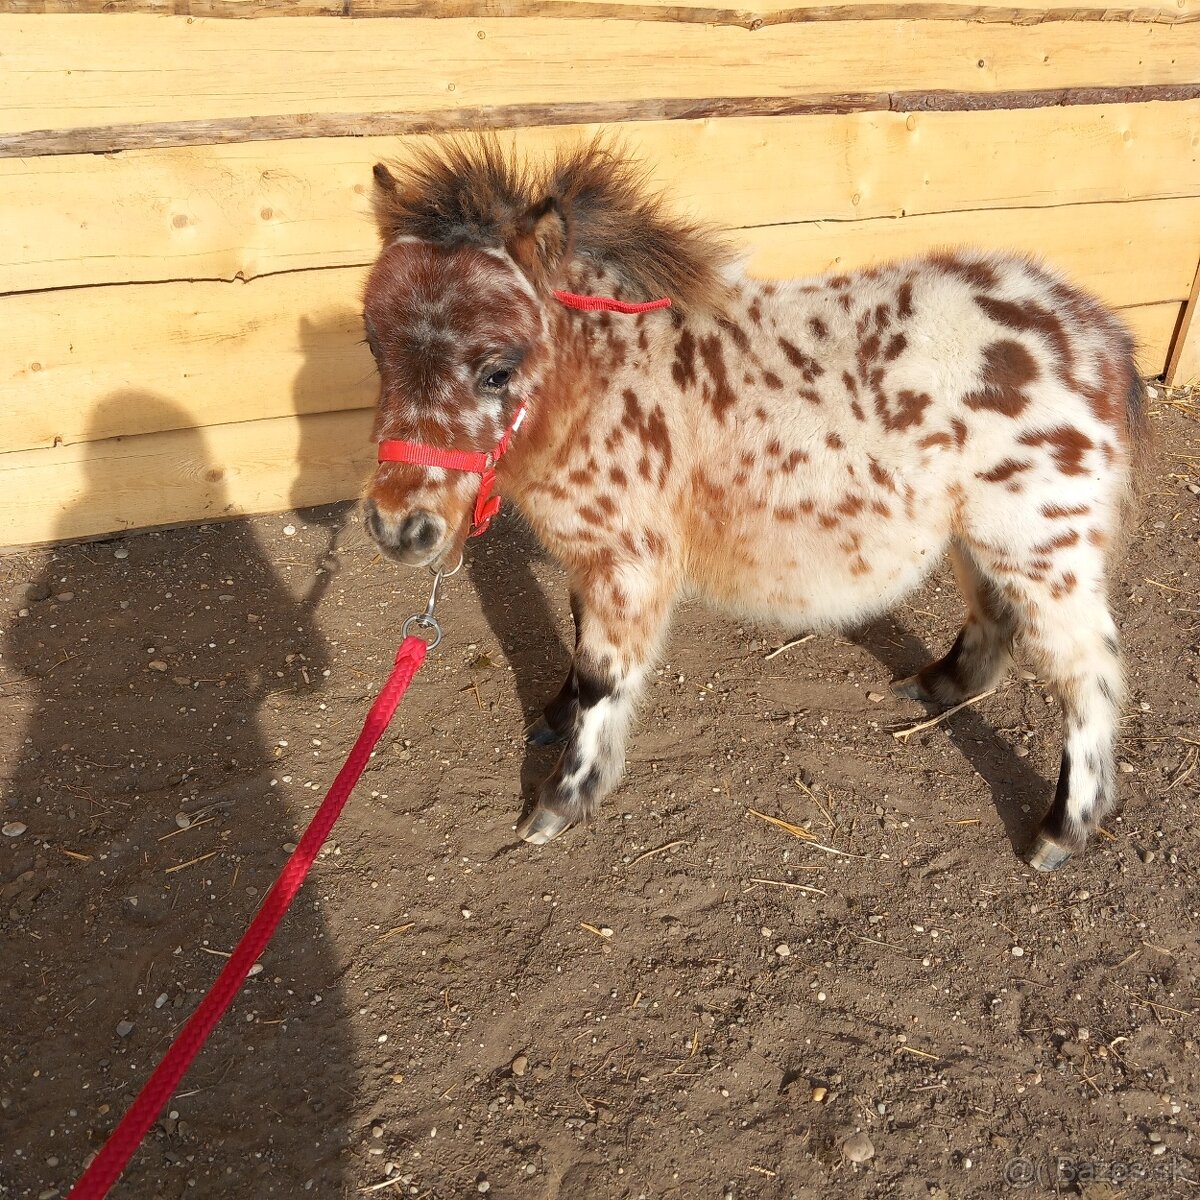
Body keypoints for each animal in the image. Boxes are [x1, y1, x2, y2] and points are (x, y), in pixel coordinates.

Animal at [360, 138, 1147, 873]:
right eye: (374, 347)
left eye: (498, 369)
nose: (399, 528)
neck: (610, 377)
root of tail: (1098, 336)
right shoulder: (593, 556)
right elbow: (580, 654)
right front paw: (553, 719)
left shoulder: (629, 563)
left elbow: (602, 675)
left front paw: (559, 801)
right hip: (981, 534)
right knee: (996, 617)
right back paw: (936, 685)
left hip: (1042, 546)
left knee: (1089, 673)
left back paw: (1059, 832)